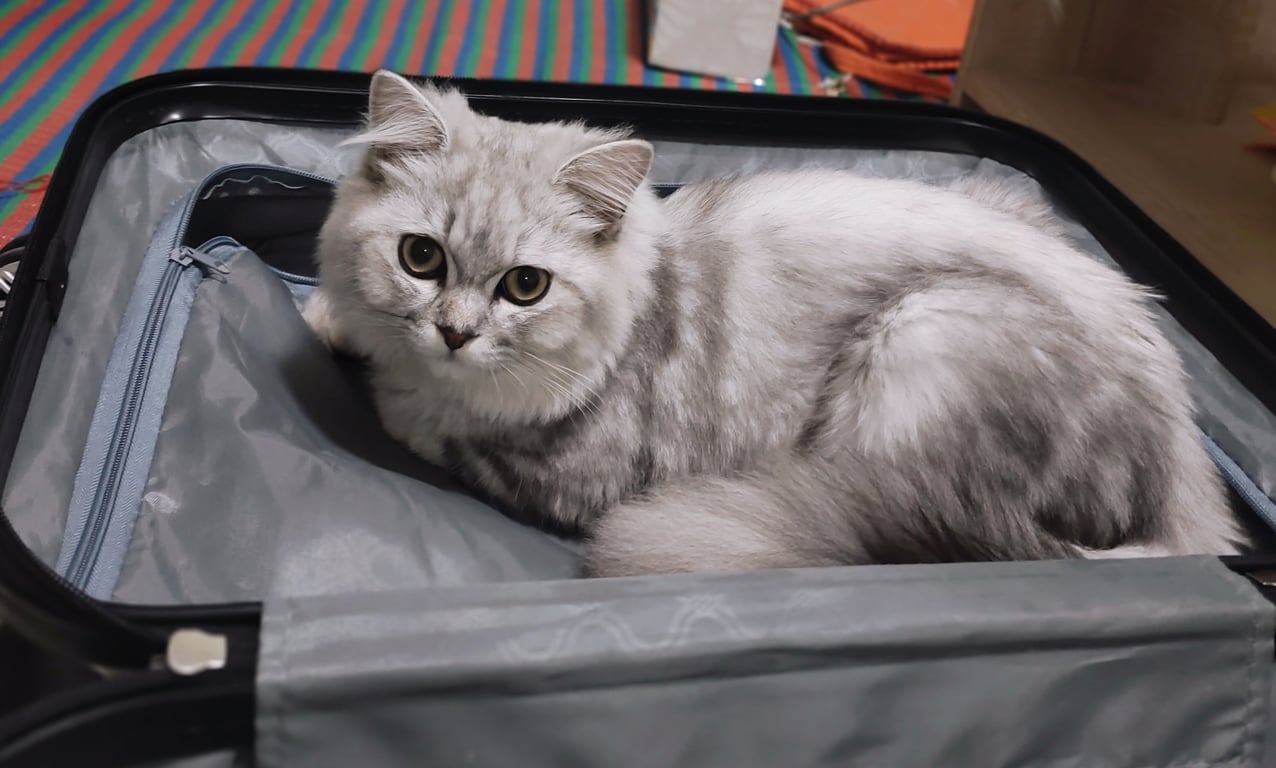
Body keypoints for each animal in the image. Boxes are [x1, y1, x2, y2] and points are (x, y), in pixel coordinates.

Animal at [305, 70, 1244, 578]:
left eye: (525, 286)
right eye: (421, 258)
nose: (455, 334)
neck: (642, 296)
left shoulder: (572, 467)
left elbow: (417, 411)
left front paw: (374, 365)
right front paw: (333, 318)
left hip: (923, 341)